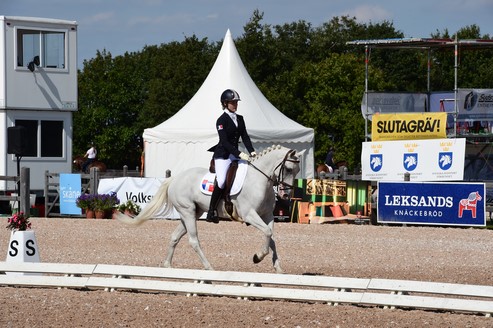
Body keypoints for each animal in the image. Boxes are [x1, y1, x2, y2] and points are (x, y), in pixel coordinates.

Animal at [115, 145, 300, 272]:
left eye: (297, 171)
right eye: (288, 169)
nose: (285, 195)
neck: (259, 179)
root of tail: (175, 178)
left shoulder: (267, 215)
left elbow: (271, 237)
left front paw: (278, 268)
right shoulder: (249, 215)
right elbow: (268, 233)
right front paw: (258, 257)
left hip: (192, 213)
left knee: (175, 236)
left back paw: (167, 265)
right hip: (188, 212)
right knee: (193, 240)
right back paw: (209, 267)